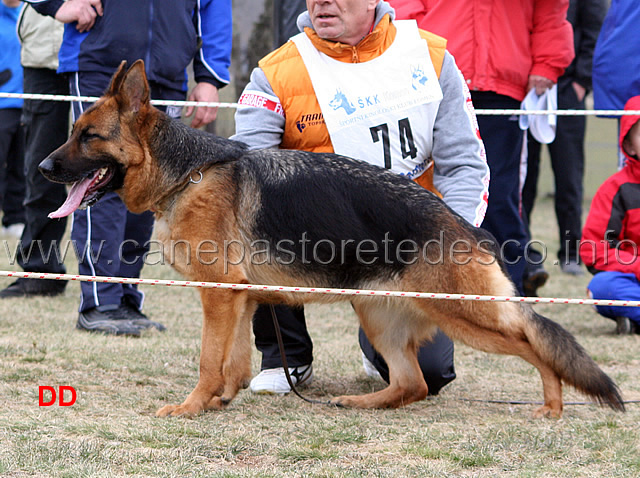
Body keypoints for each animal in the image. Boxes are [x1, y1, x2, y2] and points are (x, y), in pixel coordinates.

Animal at [40, 60, 624, 418]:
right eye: (73, 133)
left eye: (88, 137)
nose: (44, 167)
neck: (188, 173)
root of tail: (465, 226)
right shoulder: (239, 298)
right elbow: (233, 361)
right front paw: (221, 401)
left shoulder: (219, 295)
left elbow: (209, 361)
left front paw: (191, 407)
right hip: (378, 314)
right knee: (411, 384)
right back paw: (361, 404)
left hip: (465, 314)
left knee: (536, 342)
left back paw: (553, 406)